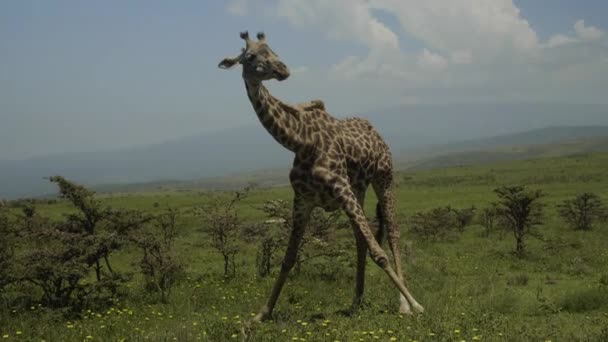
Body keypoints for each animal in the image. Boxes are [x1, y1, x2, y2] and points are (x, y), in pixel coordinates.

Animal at [218, 30, 422, 322]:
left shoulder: (341, 188)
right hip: (358, 189)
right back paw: (357, 300)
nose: (282, 69)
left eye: (273, 50)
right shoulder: (303, 200)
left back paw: (403, 304)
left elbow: (379, 252)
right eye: (251, 56)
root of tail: (376, 131)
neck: (299, 141)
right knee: (361, 239)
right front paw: (262, 314)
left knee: (392, 232)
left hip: (384, 177)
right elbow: (288, 258)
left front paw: (416, 305)